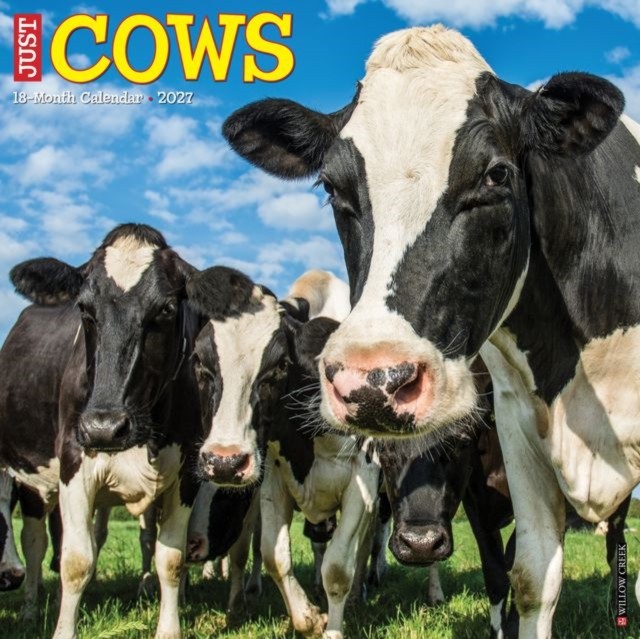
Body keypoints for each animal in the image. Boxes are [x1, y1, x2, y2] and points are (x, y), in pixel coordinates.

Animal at [2, 223, 251, 639]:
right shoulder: (73, 463)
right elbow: (76, 562)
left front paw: (168, 629)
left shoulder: (186, 473)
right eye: (84, 309)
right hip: (32, 480)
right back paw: (31, 609)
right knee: (35, 542)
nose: (104, 427)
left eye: (166, 309)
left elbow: (170, 559)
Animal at [192, 268, 379, 639]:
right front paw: (309, 618)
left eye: (279, 365)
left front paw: (333, 628)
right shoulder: (273, 478)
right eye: (200, 365)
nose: (224, 462)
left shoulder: (363, 480)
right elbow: (273, 555)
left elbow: (339, 568)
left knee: (361, 549)